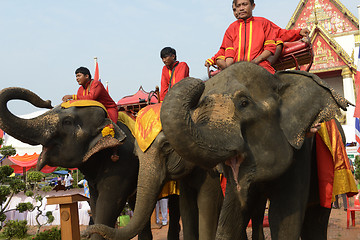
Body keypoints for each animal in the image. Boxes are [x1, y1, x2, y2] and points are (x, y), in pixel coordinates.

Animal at [159, 62, 350, 240]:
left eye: (244, 103)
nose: (200, 81)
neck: (278, 79)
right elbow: (230, 218)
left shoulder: (301, 150)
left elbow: (283, 218)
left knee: (316, 219)